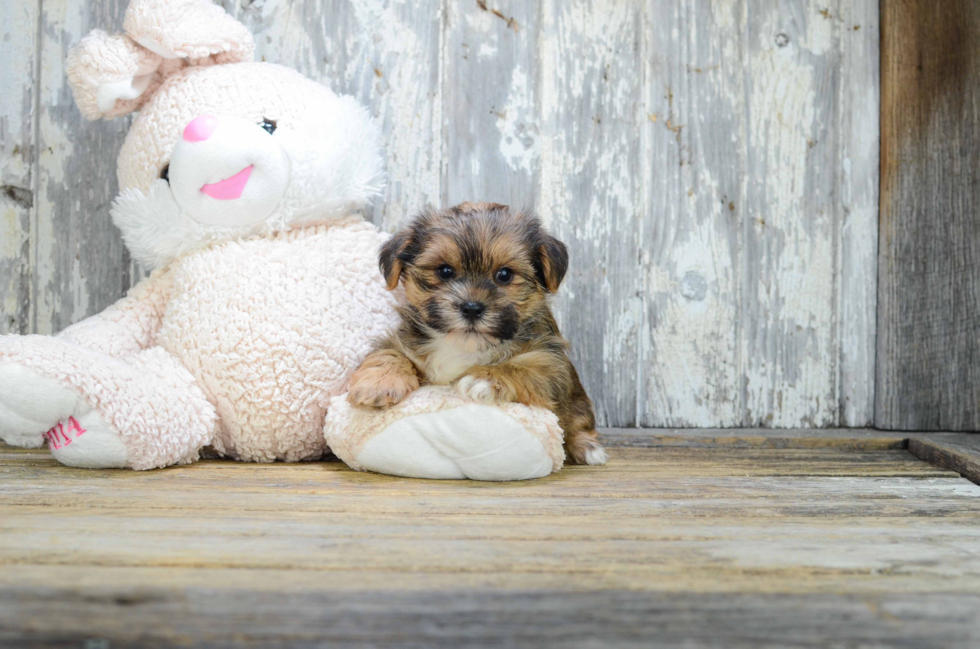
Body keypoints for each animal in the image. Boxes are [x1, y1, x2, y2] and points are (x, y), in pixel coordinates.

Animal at [344, 202, 604, 466]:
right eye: (445, 271)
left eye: (504, 275)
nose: (471, 308)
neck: (466, 346)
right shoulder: (406, 341)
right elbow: (389, 352)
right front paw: (378, 383)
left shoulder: (551, 364)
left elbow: (522, 367)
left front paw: (485, 378)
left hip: (579, 406)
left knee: (579, 424)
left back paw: (588, 448)